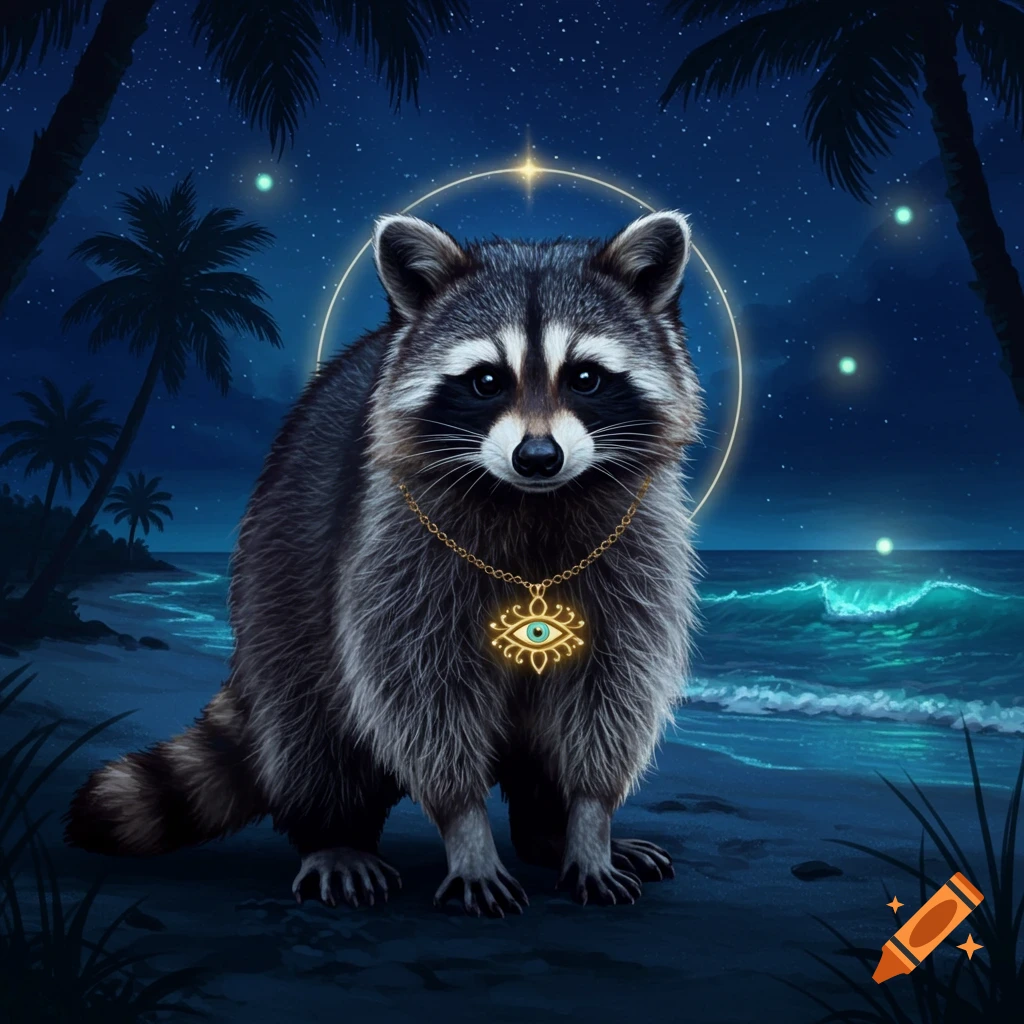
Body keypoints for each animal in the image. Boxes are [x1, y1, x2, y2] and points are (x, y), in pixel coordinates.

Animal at [64, 210, 703, 916]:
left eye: (586, 377)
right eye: (486, 380)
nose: (538, 457)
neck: (533, 504)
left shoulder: (637, 539)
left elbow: (610, 690)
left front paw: (588, 822)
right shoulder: (395, 543)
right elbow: (421, 693)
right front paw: (467, 831)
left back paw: (548, 832)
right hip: (282, 570)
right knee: (310, 721)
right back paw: (334, 833)